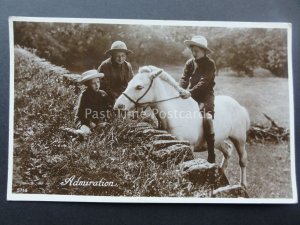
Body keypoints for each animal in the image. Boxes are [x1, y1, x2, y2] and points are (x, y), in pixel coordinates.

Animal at [113, 65, 250, 186]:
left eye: (139, 87)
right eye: (129, 83)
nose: (118, 106)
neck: (177, 112)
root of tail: (239, 106)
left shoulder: (188, 147)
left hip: (239, 140)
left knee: (242, 160)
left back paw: (243, 184)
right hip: (219, 141)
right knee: (227, 150)